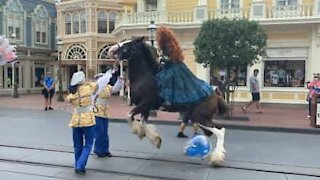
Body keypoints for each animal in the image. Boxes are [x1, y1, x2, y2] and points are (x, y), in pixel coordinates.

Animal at [109, 37, 229, 166]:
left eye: (127, 44)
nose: (111, 50)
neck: (146, 76)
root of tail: (216, 94)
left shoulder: (144, 104)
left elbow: (129, 116)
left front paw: (142, 133)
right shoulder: (146, 108)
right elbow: (143, 123)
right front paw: (155, 139)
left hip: (199, 117)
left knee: (219, 131)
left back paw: (216, 158)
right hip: (200, 118)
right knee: (213, 131)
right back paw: (208, 155)